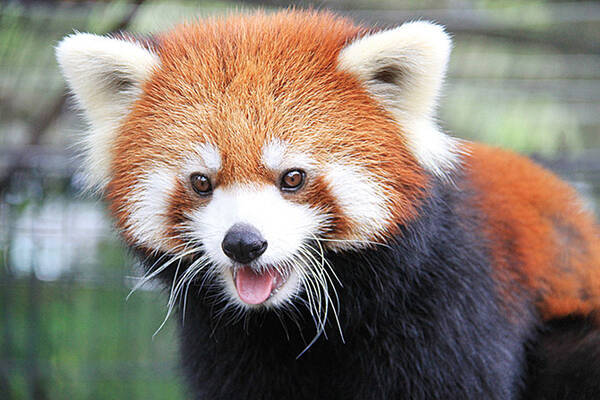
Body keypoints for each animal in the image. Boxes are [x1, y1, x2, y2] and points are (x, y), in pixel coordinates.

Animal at [56, 9, 600, 400]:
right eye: (202, 182)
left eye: (293, 178)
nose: (243, 244)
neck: (303, 326)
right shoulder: (228, 350)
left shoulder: (454, 309)